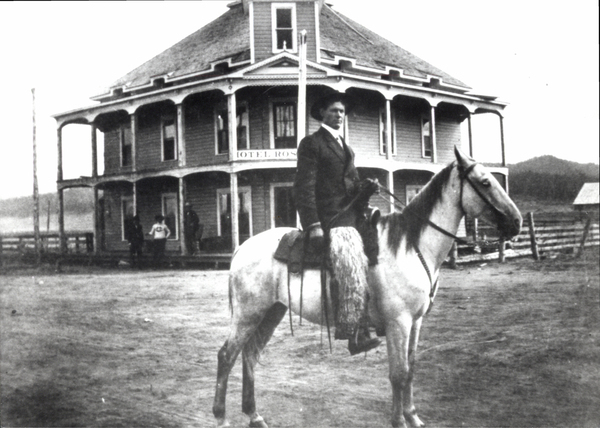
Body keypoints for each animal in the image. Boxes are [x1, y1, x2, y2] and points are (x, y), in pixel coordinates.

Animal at [213, 146, 524, 424]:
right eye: (485, 182)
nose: (517, 222)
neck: (411, 246)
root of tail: (241, 248)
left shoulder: (416, 322)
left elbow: (411, 369)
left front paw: (412, 416)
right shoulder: (399, 322)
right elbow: (398, 373)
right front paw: (399, 421)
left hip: (272, 311)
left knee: (250, 354)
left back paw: (255, 416)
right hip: (248, 314)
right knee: (227, 355)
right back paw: (220, 416)